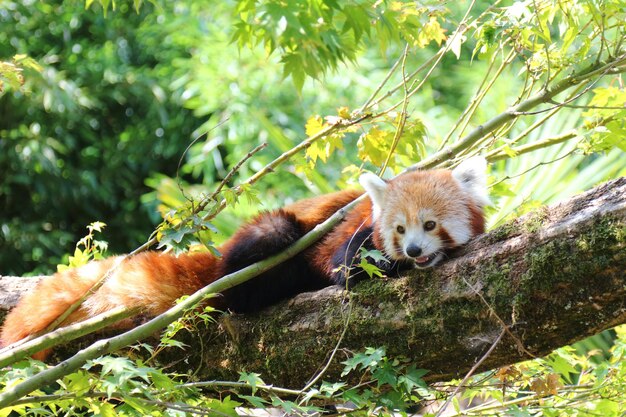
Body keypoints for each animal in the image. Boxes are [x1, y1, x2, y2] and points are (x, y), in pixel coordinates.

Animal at [0, 156, 488, 358]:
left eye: (430, 225)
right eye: (399, 229)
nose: (412, 251)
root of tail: (217, 267)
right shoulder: (350, 229)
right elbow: (344, 265)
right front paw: (378, 267)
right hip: (267, 240)